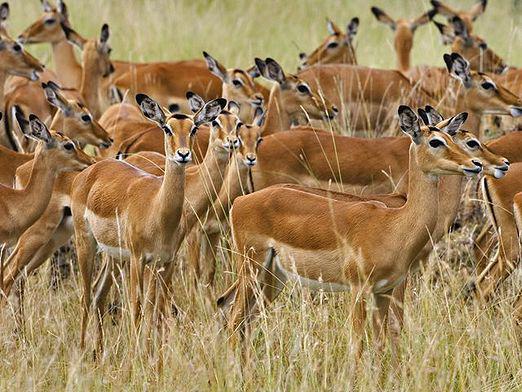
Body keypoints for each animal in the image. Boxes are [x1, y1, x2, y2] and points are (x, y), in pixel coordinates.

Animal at [69, 92, 223, 352]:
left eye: (193, 128)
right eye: (167, 128)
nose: (183, 154)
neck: (157, 209)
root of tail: (90, 171)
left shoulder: (165, 262)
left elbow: (156, 310)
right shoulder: (137, 259)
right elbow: (137, 309)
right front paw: (136, 356)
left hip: (113, 257)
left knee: (99, 294)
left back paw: (98, 352)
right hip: (87, 244)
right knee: (86, 296)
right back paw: (80, 352)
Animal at [218, 105, 480, 356]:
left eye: (452, 137)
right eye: (435, 141)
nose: (475, 165)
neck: (394, 223)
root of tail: (240, 202)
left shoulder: (384, 290)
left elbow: (381, 342)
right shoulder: (359, 289)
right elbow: (357, 345)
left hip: (274, 278)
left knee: (242, 319)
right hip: (252, 270)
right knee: (234, 319)